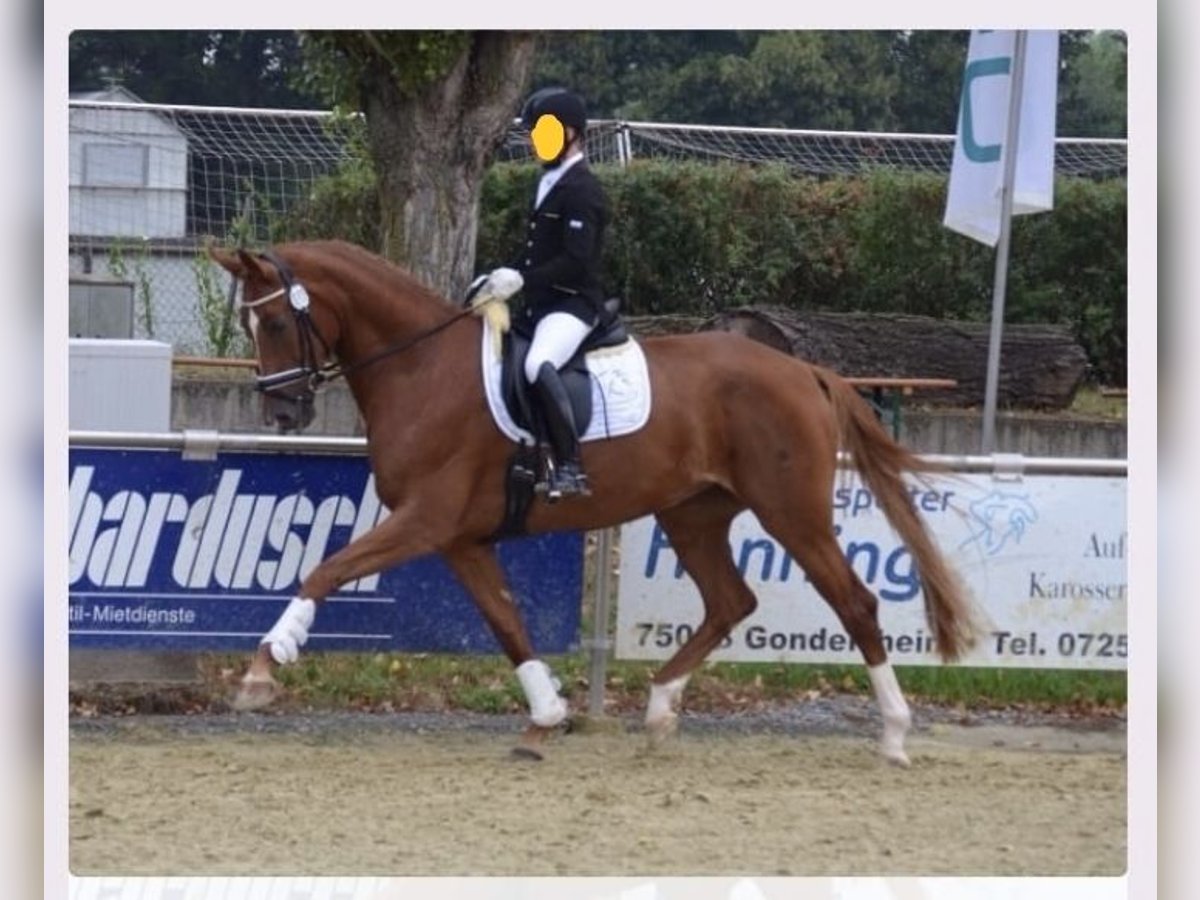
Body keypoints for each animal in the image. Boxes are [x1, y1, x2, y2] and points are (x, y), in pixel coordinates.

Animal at [210, 238, 980, 766]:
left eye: (272, 325)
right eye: (249, 329)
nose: (281, 414)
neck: (420, 367)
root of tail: (805, 370)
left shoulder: (425, 520)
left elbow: (327, 568)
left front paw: (262, 668)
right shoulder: (461, 538)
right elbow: (507, 622)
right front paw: (547, 714)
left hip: (790, 512)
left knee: (854, 602)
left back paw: (894, 734)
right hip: (692, 513)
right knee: (731, 601)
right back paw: (662, 708)